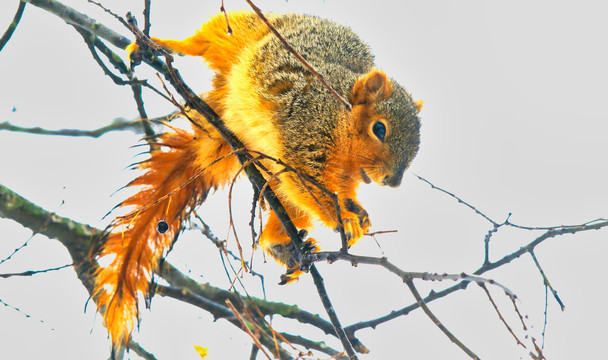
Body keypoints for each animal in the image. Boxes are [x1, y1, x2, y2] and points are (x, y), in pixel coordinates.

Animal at [92, 9, 420, 352]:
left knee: (287, 207)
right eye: (379, 129)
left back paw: (285, 247)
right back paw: (162, 44)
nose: (393, 181)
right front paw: (345, 218)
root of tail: (225, 113)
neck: (341, 116)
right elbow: (306, 180)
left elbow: (326, 192)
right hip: (241, 31)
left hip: (269, 175)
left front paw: (357, 212)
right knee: (206, 40)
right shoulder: (306, 129)